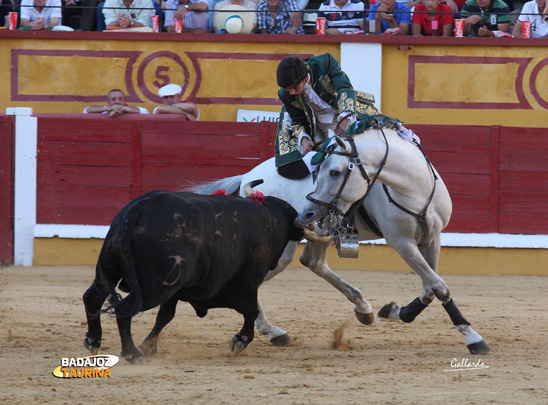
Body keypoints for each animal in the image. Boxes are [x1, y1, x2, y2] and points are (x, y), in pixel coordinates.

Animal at [82, 190, 304, 362]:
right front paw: (240, 341)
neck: (269, 219)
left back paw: (93, 341)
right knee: (123, 310)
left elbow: (165, 315)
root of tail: (139, 209)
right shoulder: (246, 286)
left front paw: (149, 346)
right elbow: (251, 311)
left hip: (111, 268)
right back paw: (132, 353)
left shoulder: (176, 292)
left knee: (93, 297)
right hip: (154, 288)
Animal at [191, 125, 490, 354]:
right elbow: (439, 286)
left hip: (319, 233)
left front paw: (397, 311)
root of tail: (249, 176)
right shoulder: (402, 243)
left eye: (334, 172)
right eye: (317, 171)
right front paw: (473, 338)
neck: (413, 188)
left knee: (313, 262)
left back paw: (362, 309)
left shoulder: (433, 238)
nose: (306, 213)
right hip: (283, 247)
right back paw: (270, 331)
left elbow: (430, 286)